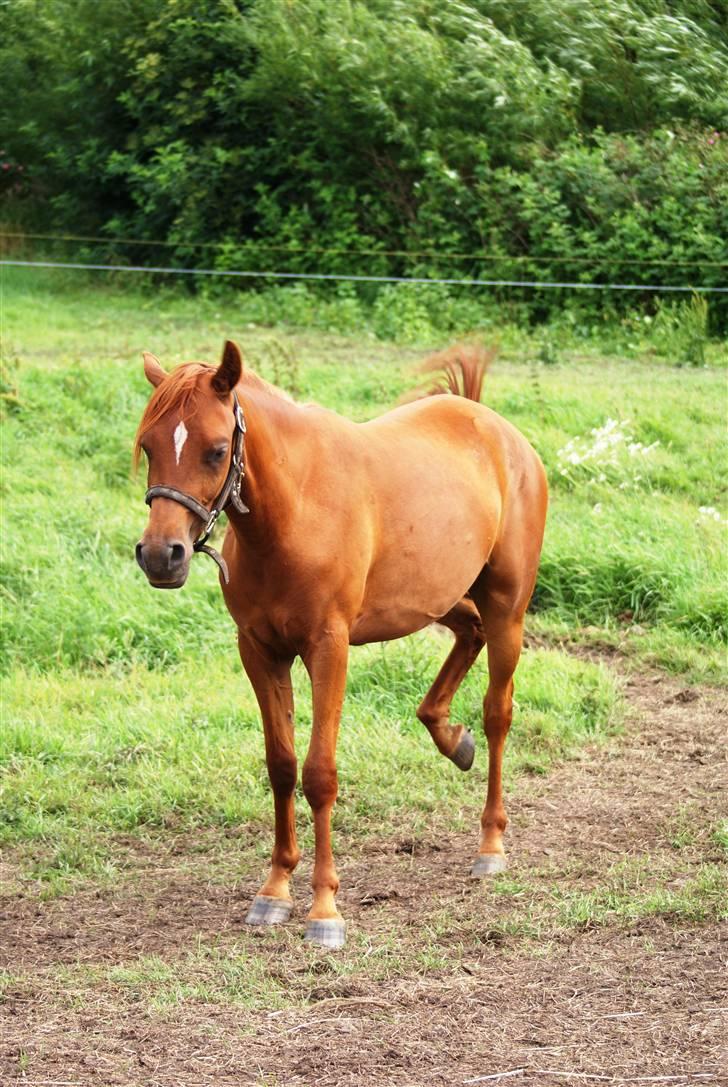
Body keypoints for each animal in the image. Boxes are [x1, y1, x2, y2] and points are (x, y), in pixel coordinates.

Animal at [135, 339, 547, 943]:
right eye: (148, 445)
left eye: (215, 451)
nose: (161, 556)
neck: (294, 512)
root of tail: (493, 426)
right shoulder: (260, 651)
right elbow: (281, 766)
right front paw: (274, 890)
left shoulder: (328, 648)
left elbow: (318, 774)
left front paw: (325, 910)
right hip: (440, 598)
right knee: (465, 642)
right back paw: (453, 739)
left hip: (506, 609)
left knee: (498, 712)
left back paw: (491, 842)